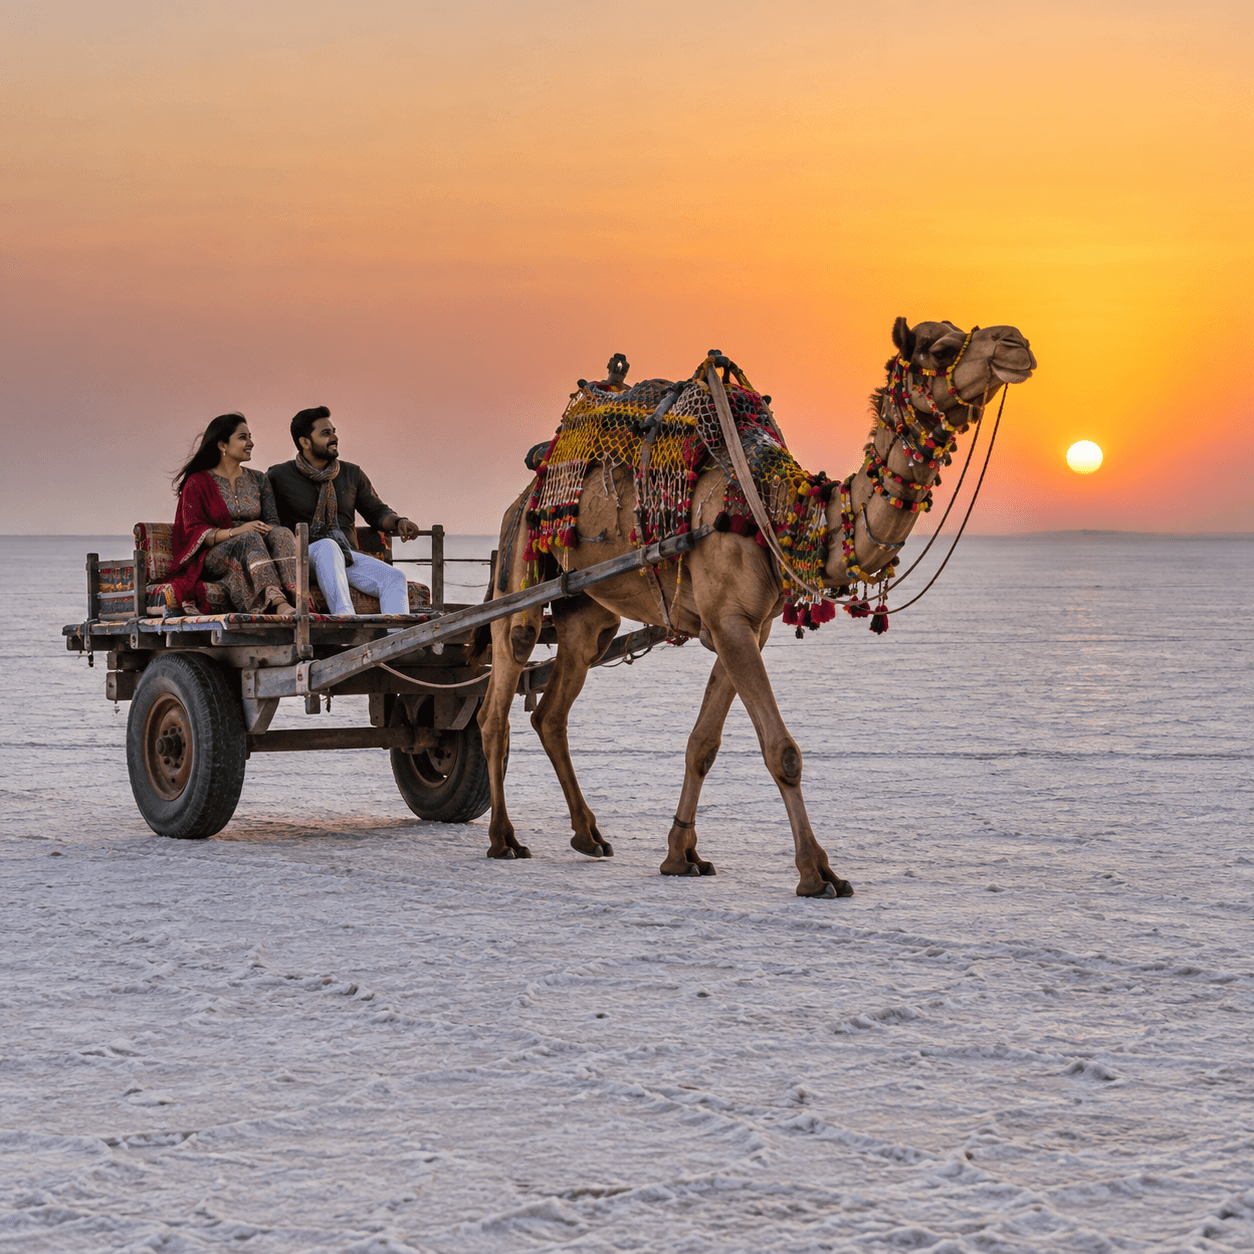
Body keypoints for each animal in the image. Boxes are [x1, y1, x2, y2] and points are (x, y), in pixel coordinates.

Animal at [475, 319, 1037, 897]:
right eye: (941, 348)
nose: (1016, 344)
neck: (778, 510)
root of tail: (525, 491)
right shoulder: (729, 620)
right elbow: (782, 752)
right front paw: (817, 872)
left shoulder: (748, 625)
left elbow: (703, 743)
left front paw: (682, 855)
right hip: (518, 564)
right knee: (499, 694)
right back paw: (503, 838)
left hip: (587, 612)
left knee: (552, 710)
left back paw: (588, 835)